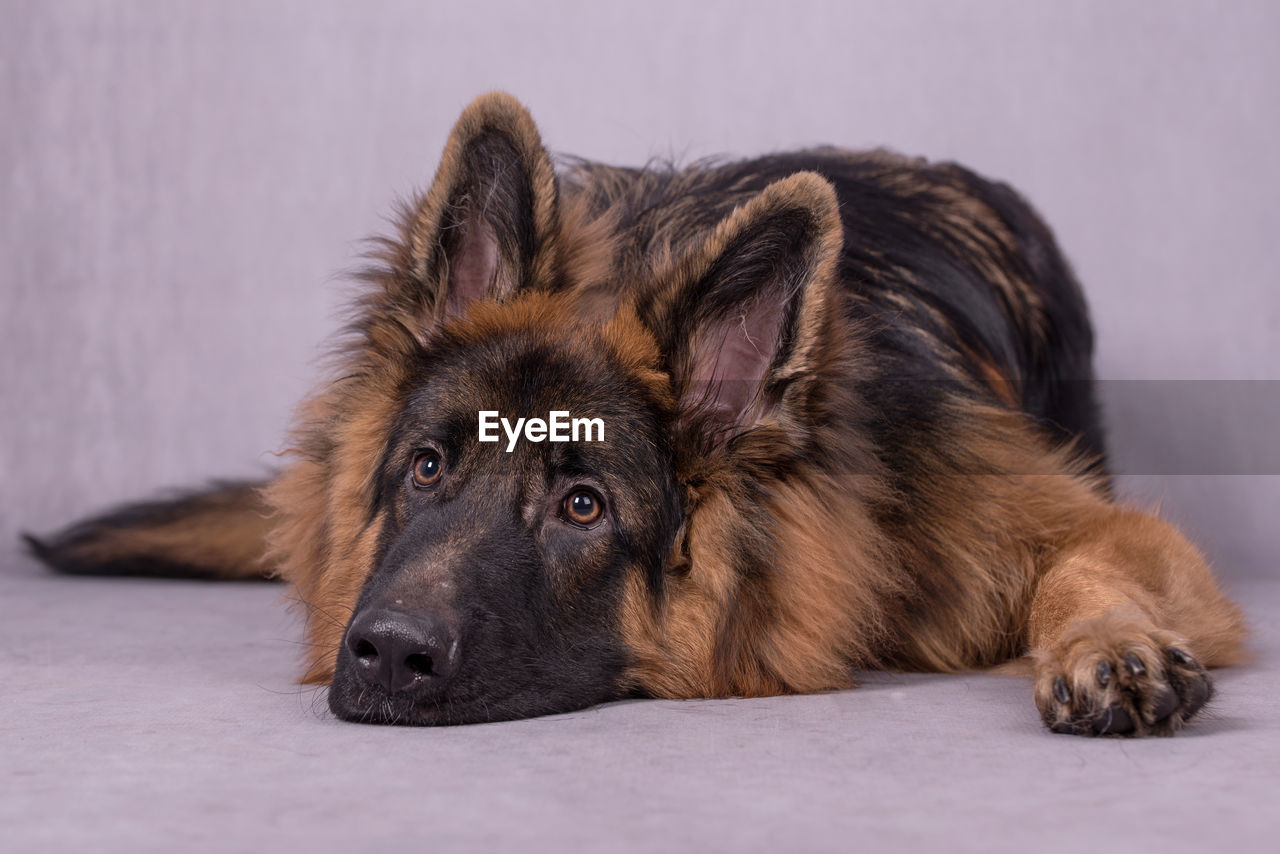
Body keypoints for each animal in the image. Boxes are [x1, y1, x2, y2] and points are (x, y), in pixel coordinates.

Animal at [22, 92, 1249, 737]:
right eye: (426, 468)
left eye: (582, 505)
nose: (382, 654)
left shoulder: (1043, 514)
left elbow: (1086, 560)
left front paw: (1107, 643)